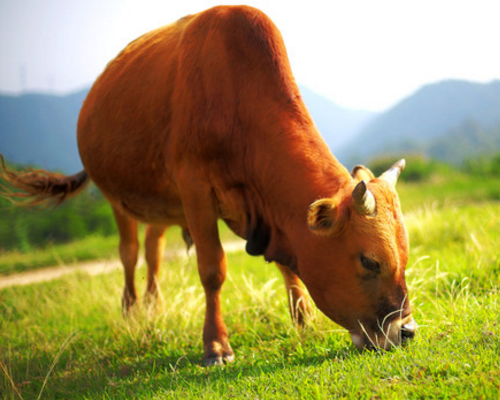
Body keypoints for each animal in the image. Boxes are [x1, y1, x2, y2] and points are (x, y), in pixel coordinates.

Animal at [0, 5, 418, 366]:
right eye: (369, 261)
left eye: (404, 256)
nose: (407, 331)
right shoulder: (196, 190)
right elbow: (212, 269)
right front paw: (216, 346)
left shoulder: (270, 214)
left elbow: (289, 266)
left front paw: (303, 320)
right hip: (117, 199)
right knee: (130, 253)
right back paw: (132, 311)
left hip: (160, 202)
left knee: (153, 250)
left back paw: (154, 305)